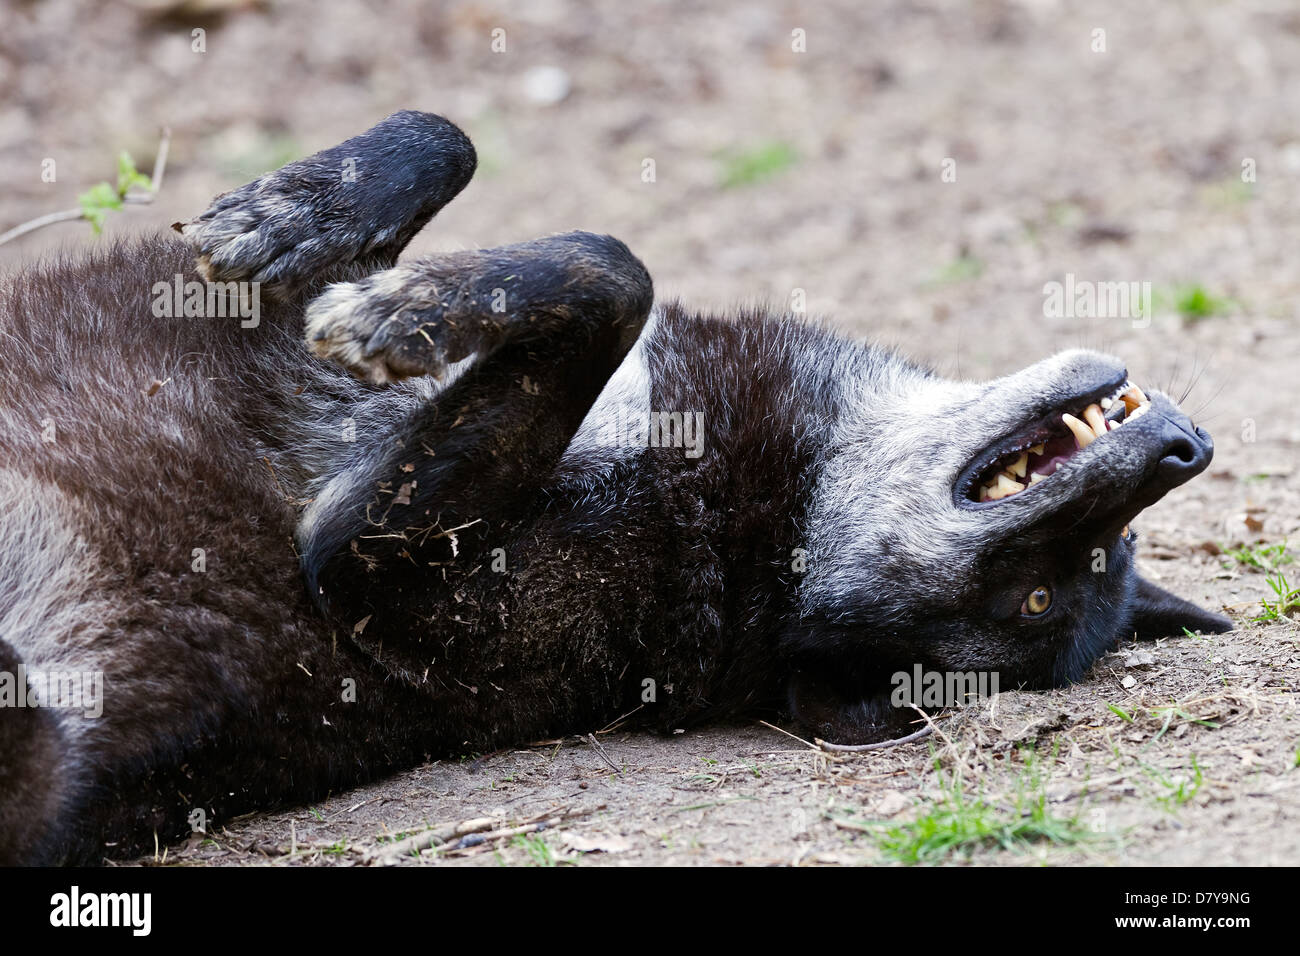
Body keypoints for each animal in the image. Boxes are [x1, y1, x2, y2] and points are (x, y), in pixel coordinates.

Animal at [0, 111, 1227, 868]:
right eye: (1096, 562)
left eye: (1039, 594)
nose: (1184, 450)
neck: (743, 517)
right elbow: (453, 142)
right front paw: (290, 212)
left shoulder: (365, 552)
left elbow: (614, 271)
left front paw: (407, 312)